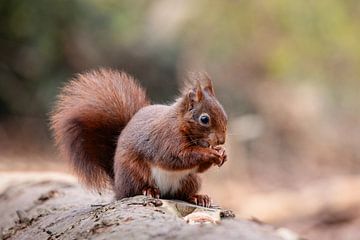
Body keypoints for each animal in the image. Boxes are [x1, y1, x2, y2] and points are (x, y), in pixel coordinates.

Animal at [50, 68, 228, 207]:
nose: (221, 140)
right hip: (133, 172)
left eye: (224, 114)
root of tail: (118, 187)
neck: (180, 123)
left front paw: (223, 153)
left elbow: (198, 167)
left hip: (191, 179)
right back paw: (149, 190)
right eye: (204, 119)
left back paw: (198, 197)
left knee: (181, 194)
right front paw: (211, 153)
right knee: (135, 190)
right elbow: (177, 157)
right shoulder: (166, 139)